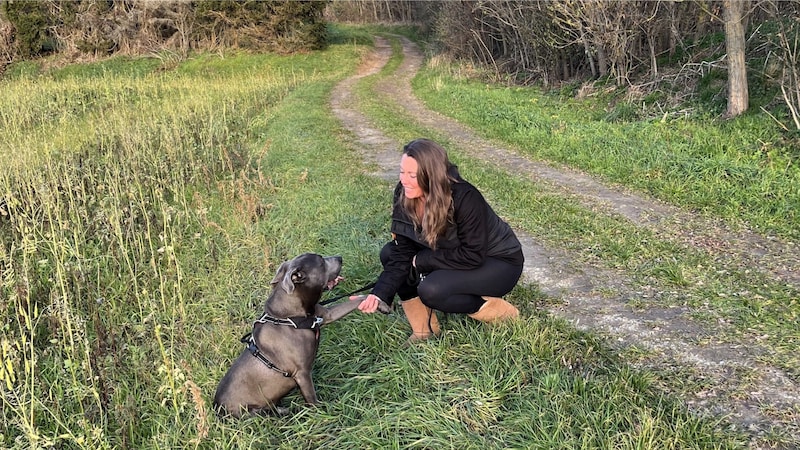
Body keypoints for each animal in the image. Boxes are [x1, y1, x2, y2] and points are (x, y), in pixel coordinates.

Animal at [212, 253, 388, 418]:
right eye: (321, 261)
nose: (340, 257)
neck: (290, 316)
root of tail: (216, 408)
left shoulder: (327, 315)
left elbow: (358, 299)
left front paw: (381, 304)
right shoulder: (302, 373)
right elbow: (312, 399)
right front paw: (324, 414)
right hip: (249, 412)